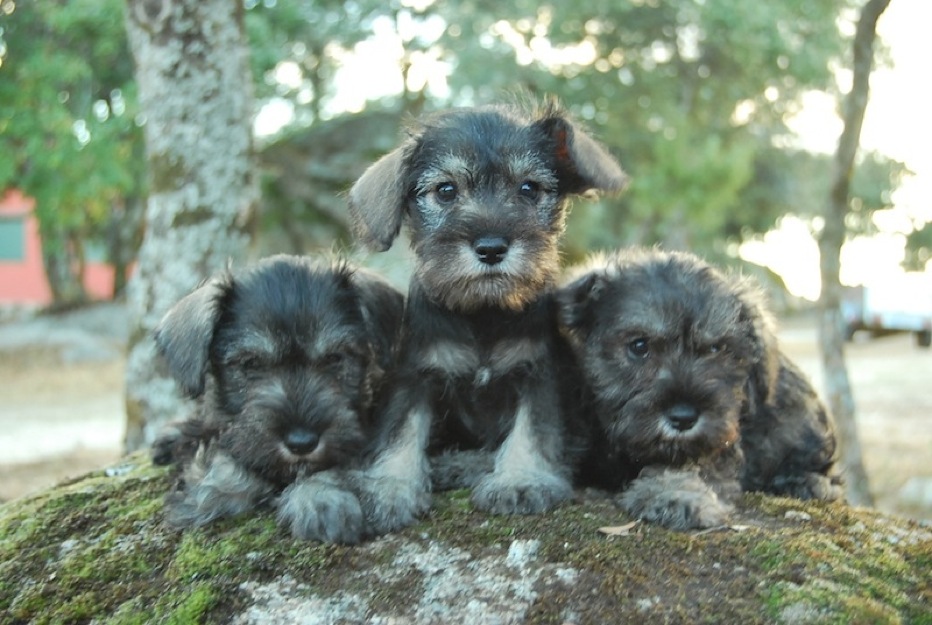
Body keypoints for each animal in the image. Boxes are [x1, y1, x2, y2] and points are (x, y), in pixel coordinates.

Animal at [292, 97, 628, 540]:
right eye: (445, 190)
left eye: (529, 188)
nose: (491, 247)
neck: (482, 315)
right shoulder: (414, 375)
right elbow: (401, 430)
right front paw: (389, 487)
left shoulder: (539, 373)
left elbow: (533, 428)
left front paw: (520, 480)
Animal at [556, 246, 848, 528]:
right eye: (639, 345)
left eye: (716, 348)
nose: (684, 418)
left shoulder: (719, 442)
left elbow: (689, 465)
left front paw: (675, 496)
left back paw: (806, 482)